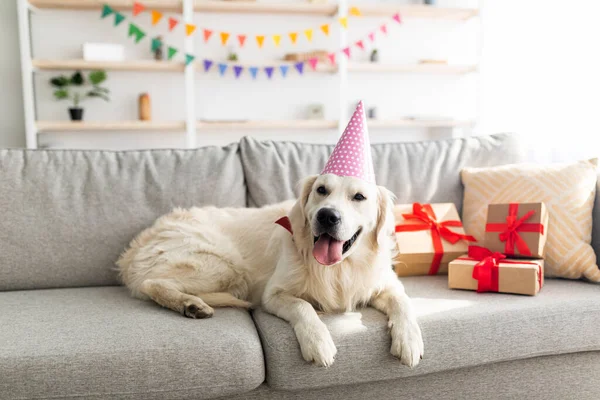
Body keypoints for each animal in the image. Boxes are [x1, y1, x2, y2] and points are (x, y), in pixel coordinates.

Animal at [117, 173, 424, 368]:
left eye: (359, 196)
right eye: (321, 190)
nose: (327, 216)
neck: (339, 267)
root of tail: (133, 249)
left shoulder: (386, 284)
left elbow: (404, 303)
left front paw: (409, 340)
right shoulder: (273, 294)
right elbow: (303, 306)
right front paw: (318, 342)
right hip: (224, 266)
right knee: (152, 283)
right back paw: (190, 304)